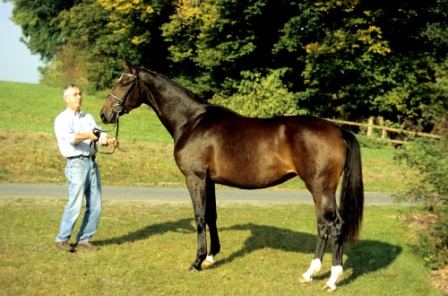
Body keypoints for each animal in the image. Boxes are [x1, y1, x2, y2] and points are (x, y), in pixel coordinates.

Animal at [100, 58, 362, 292]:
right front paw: (211, 256)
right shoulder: (209, 180)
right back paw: (309, 274)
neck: (191, 121)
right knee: (323, 226)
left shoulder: (195, 178)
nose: (104, 114)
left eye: (125, 83)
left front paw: (197, 262)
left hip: (321, 189)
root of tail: (339, 130)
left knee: (334, 225)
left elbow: (199, 217)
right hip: (320, 191)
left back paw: (331, 280)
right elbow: (211, 215)